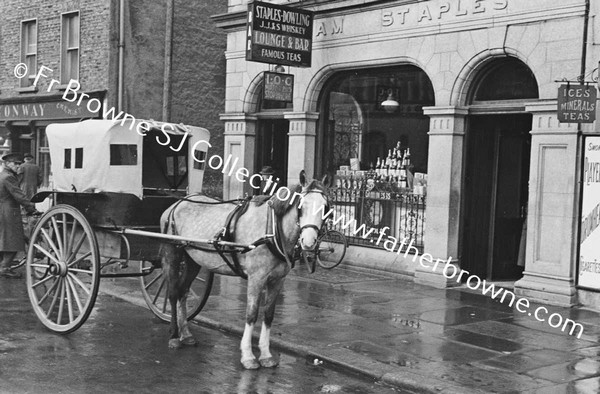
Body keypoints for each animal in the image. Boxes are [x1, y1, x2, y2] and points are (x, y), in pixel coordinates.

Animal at [157, 170, 330, 370]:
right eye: (301, 206)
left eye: (325, 207)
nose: (308, 242)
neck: (272, 229)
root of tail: (177, 204)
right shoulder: (256, 278)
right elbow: (251, 314)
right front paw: (248, 356)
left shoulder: (277, 280)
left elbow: (268, 315)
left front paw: (266, 354)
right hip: (172, 253)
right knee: (173, 292)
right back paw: (174, 336)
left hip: (193, 260)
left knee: (183, 292)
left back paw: (186, 334)